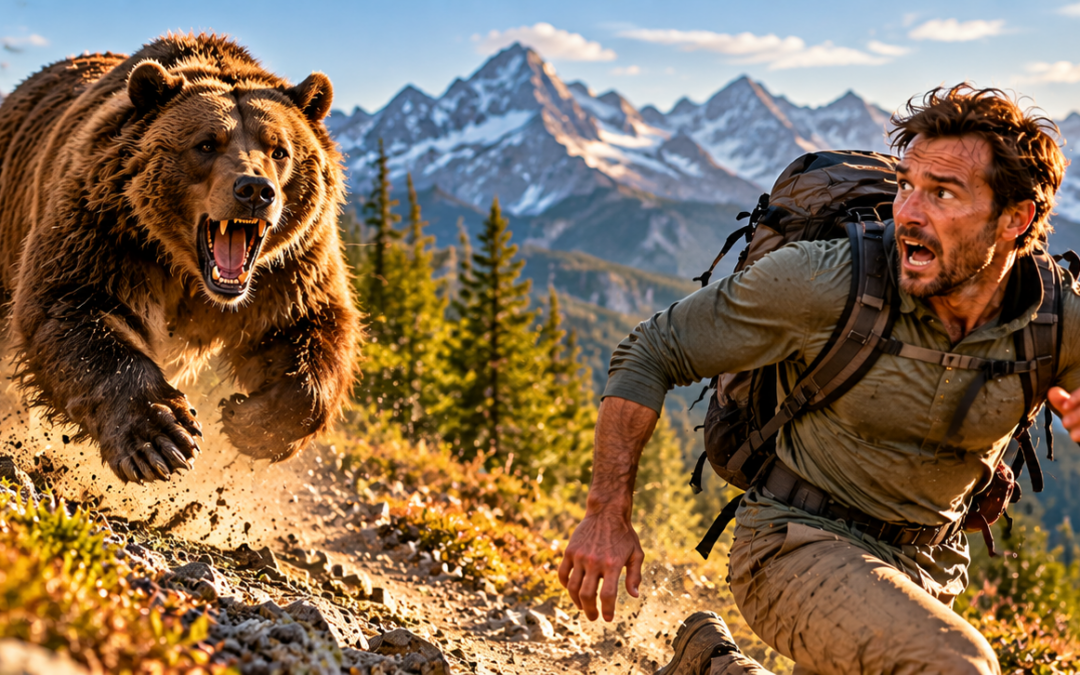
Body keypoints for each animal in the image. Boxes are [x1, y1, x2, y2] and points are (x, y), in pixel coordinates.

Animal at [0, 33, 362, 484]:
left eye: (279, 150)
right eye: (206, 143)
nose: (255, 190)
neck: (188, 271)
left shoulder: (288, 266)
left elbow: (308, 326)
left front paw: (251, 421)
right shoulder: (106, 227)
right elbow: (71, 307)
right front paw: (161, 437)